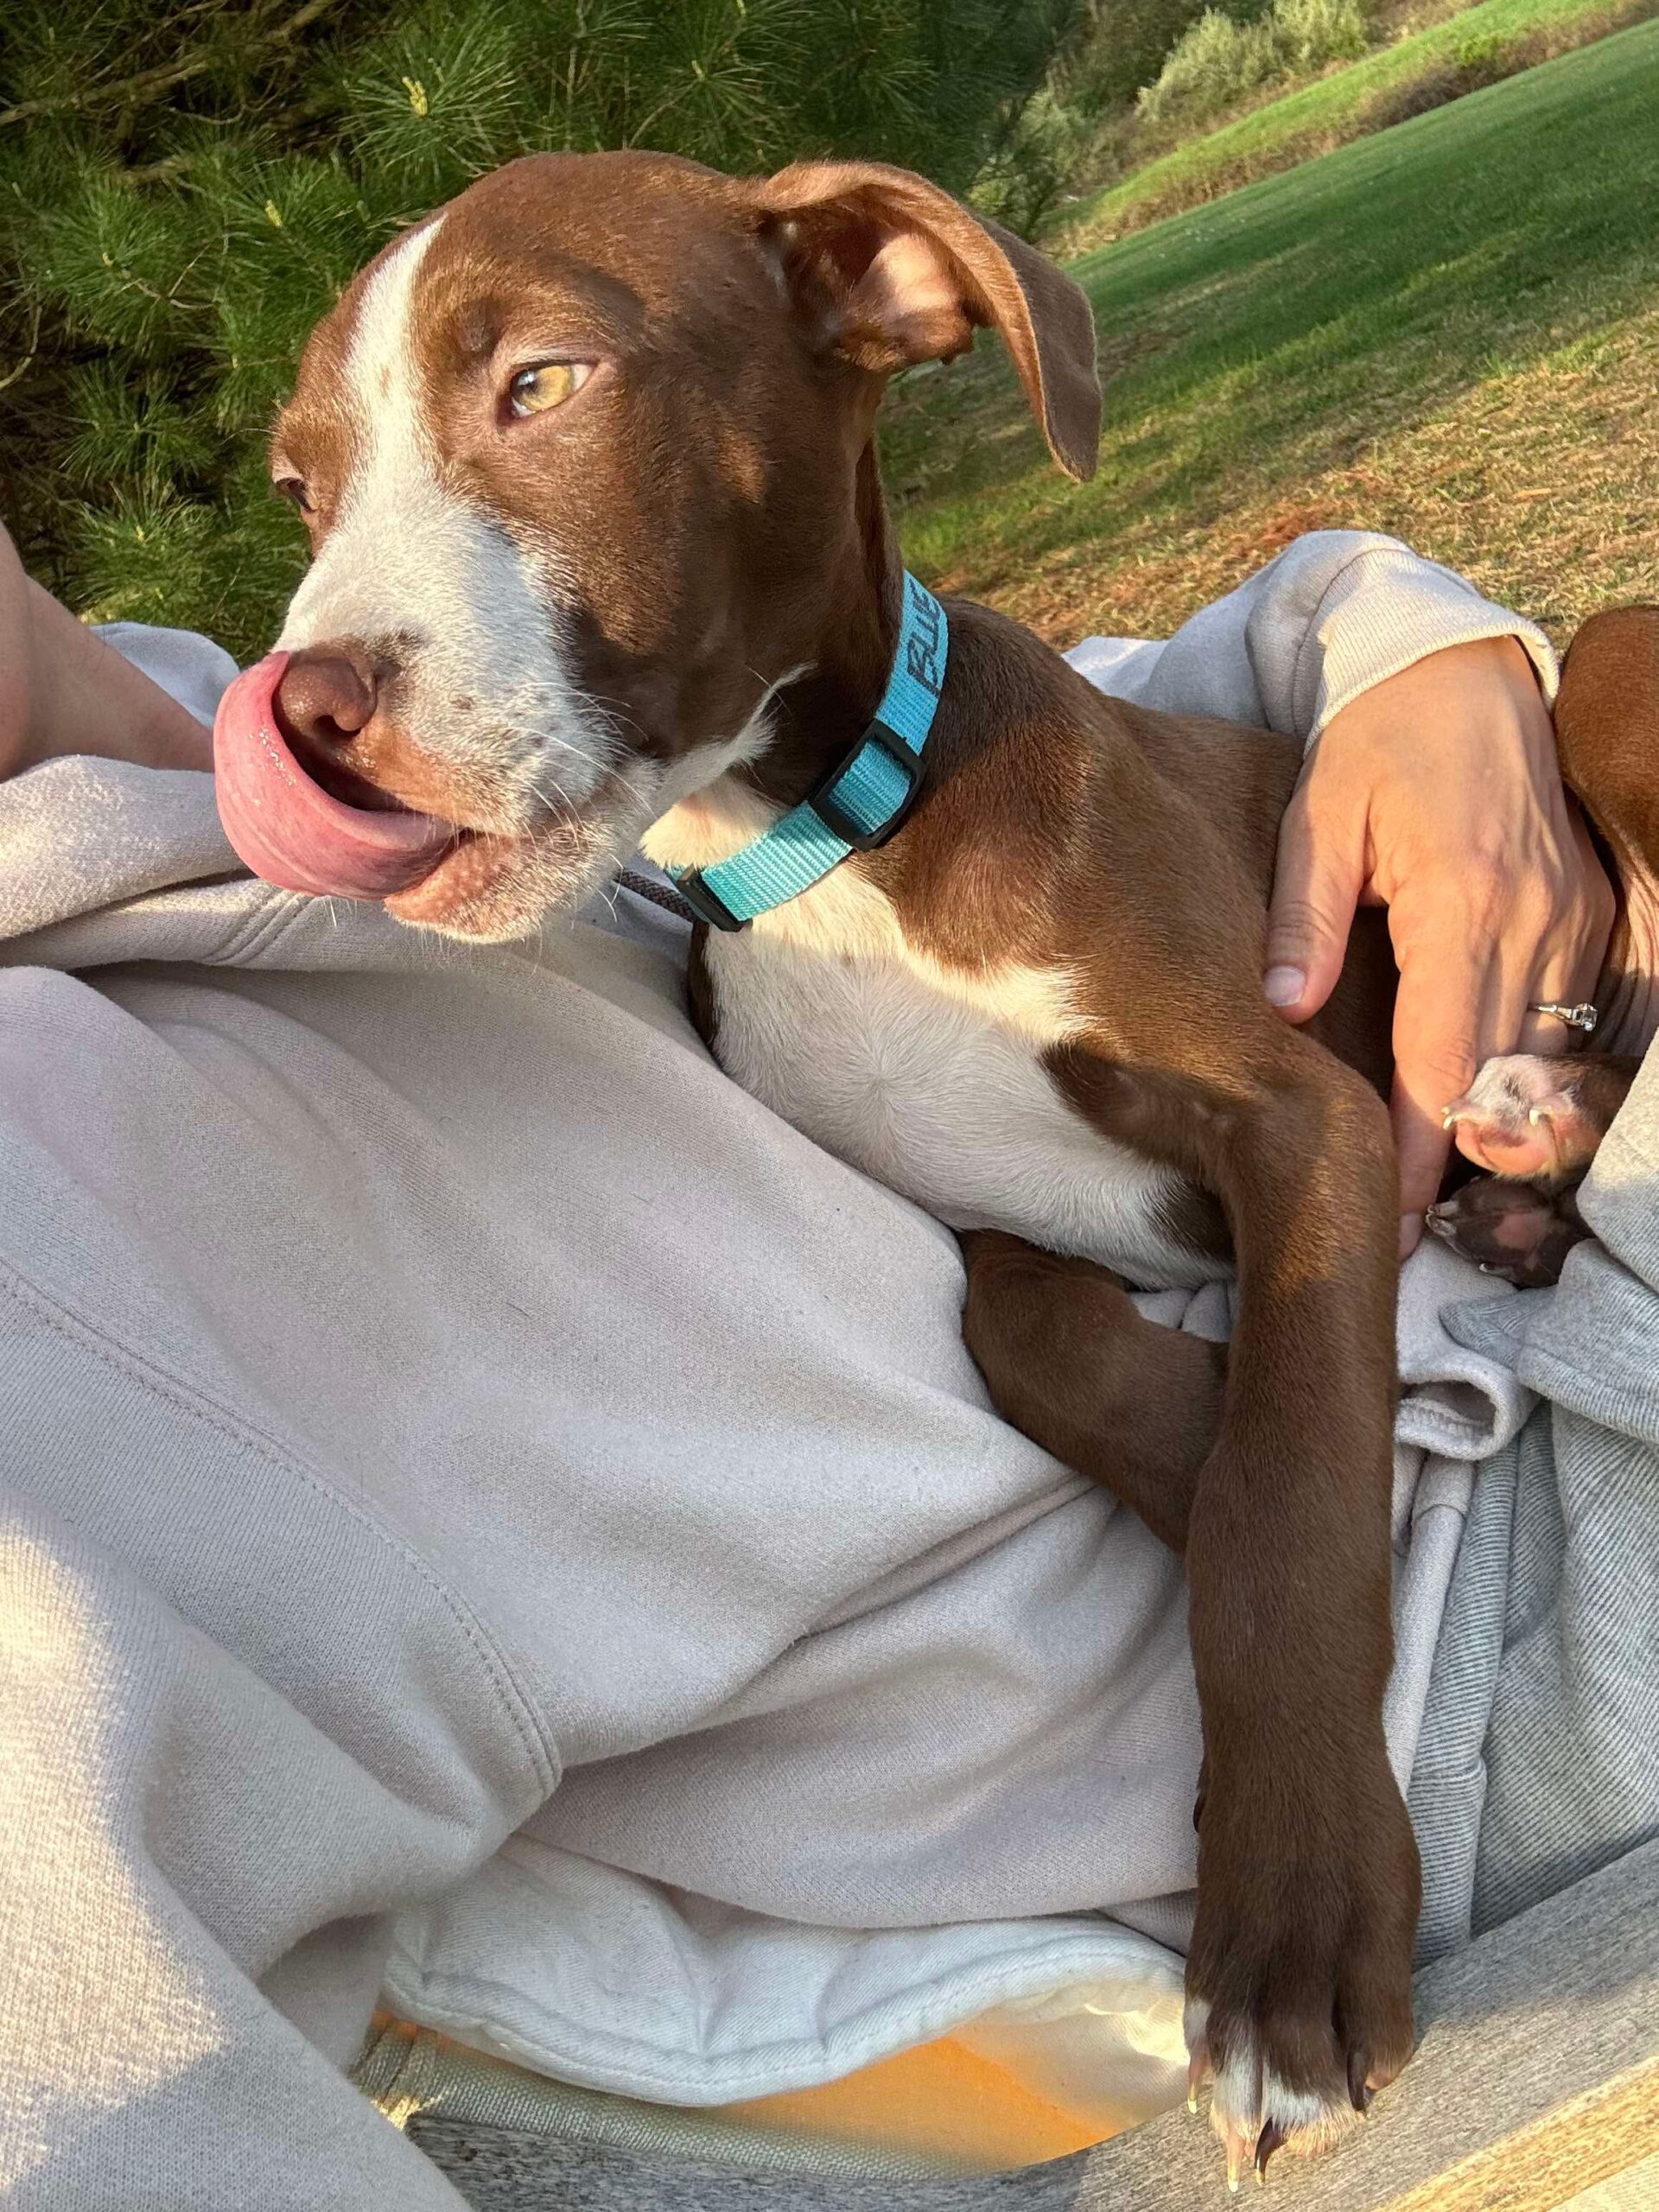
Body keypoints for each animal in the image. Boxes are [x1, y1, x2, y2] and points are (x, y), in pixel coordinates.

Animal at [209, 149, 1657, 2183]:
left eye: (544, 384)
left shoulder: (1300, 1114)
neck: (825, 852)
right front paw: (1215, 1421)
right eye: (303, 488)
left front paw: (1290, 1931)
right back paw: (1535, 1150)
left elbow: (1285, 1504)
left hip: (1607, 659)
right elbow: (1038, 1335)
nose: (307, 711)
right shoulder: (983, 1206)